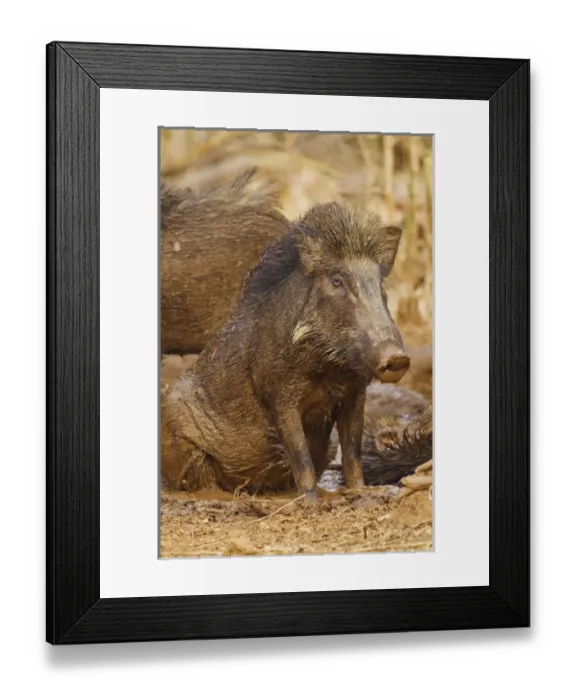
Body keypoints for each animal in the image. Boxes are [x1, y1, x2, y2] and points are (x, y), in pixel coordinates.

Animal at [161, 202, 410, 502]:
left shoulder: (355, 394)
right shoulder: (279, 397)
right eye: (337, 281)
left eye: (379, 283)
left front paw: (365, 492)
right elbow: (300, 454)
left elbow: (353, 451)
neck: (330, 369)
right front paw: (311, 502)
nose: (396, 358)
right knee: (200, 483)